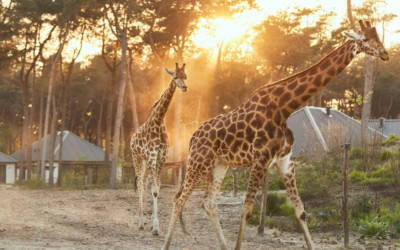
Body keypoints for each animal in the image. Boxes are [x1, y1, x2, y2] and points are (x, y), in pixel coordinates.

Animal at [130, 62, 188, 234]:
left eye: (185, 76)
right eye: (175, 77)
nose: (184, 87)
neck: (159, 120)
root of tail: (132, 138)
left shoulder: (161, 157)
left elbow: (157, 188)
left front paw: (154, 225)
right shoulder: (152, 155)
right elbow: (154, 189)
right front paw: (155, 227)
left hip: (146, 162)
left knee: (144, 182)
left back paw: (144, 220)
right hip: (137, 157)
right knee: (140, 185)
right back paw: (141, 222)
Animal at [162, 20, 388, 250]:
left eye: (378, 37)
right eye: (366, 39)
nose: (385, 53)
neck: (284, 107)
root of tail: (192, 137)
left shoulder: (285, 160)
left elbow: (300, 211)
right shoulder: (260, 159)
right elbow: (246, 210)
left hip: (219, 165)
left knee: (208, 203)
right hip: (199, 163)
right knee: (179, 199)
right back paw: (166, 244)